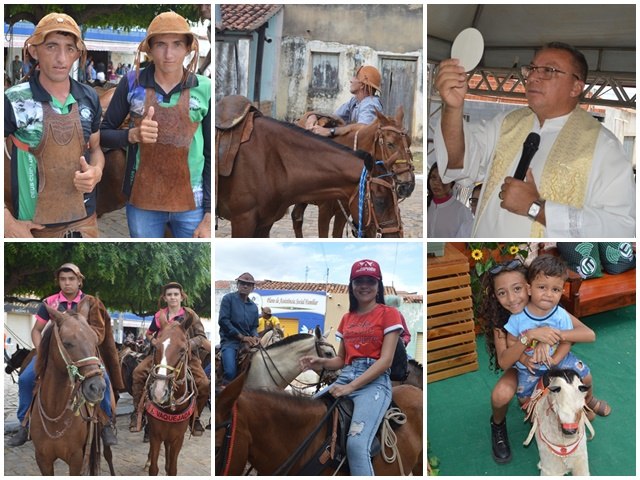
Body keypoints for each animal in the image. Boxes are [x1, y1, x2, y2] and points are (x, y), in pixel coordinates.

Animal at [29, 302, 115, 474]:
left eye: (95, 341)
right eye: (67, 343)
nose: (97, 388)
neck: (54, 411)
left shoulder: (76, 458)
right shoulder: (42, 458)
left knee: (108, 455)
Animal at [145, 314, 195, 474]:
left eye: (182, 350)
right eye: (155, 347)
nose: (159, 392)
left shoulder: (178, 439)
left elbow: (172, 468)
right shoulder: (155, 435)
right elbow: (154, 468)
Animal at [292, 108, 416, 237]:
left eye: (409, 142)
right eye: (390, 144)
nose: (408, 186)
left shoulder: (344, 212)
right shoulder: (324, 211)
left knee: (297, 217)